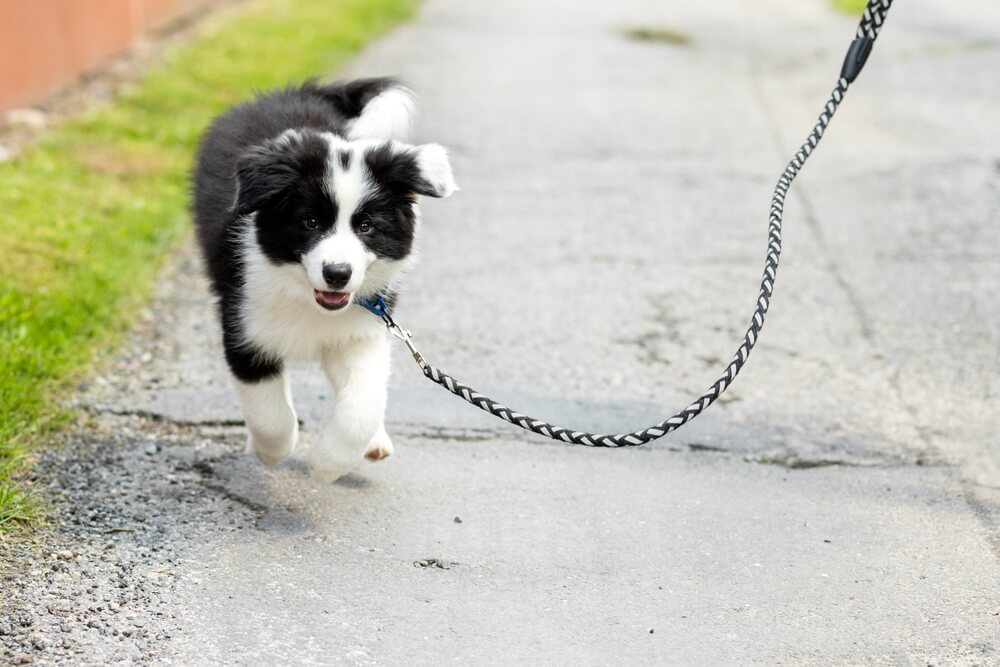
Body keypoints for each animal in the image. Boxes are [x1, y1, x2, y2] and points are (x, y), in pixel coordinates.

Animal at [192, 79, 458, 480]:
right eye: (310, 222)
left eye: (366, 226)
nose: (337, 274)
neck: (306, 298)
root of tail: (293, 93)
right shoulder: (243, 327)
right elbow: (269, 412)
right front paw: (272, 451)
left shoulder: (363, 329)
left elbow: (362, 404)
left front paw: (327, 464)